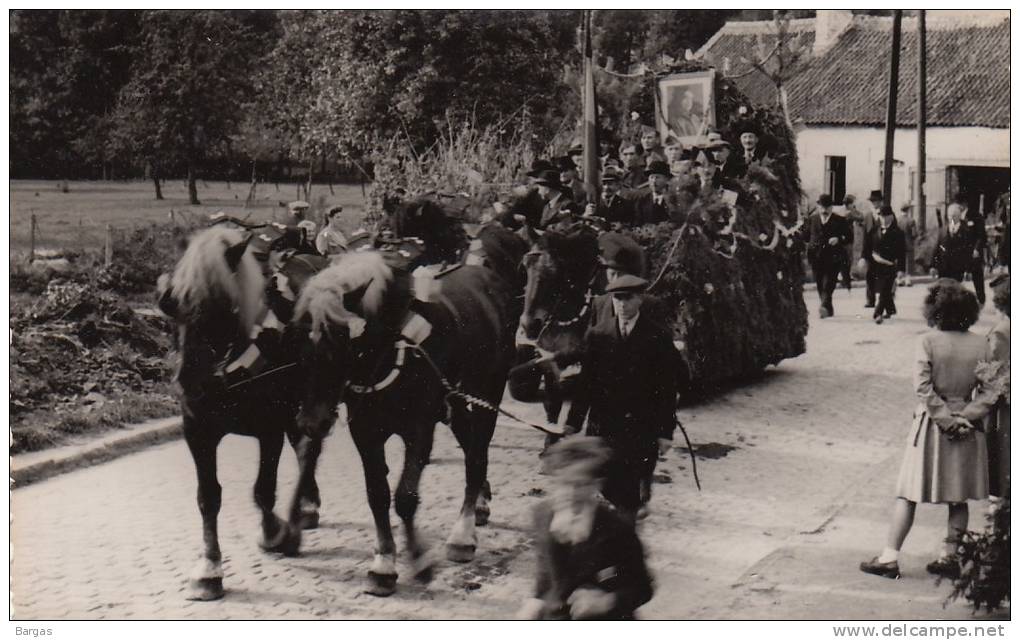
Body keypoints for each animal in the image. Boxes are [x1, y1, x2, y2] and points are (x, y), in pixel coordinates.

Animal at [156, 225, 322, 600]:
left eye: (222, 307)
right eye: (169, 304)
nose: (189, 385)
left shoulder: (269, 427)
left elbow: (263, 490)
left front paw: (275, 533)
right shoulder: (197, 430)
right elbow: (208, 497)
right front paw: (209, 568)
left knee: (311, 447)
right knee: (303, 445)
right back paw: (307, 504)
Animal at [289, 224, 522, 596]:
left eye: (343, 344)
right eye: (298, 344)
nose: (313, 422)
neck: (393, 346)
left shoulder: (419, 430)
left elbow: (406, 496)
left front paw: (419, 560)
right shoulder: (366, 432)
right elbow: (378, 494)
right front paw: (384, 562)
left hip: (489, 390)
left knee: (477, 454)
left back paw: (463, 534)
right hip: (456, 402)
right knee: (470, 444)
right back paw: (479, 504)